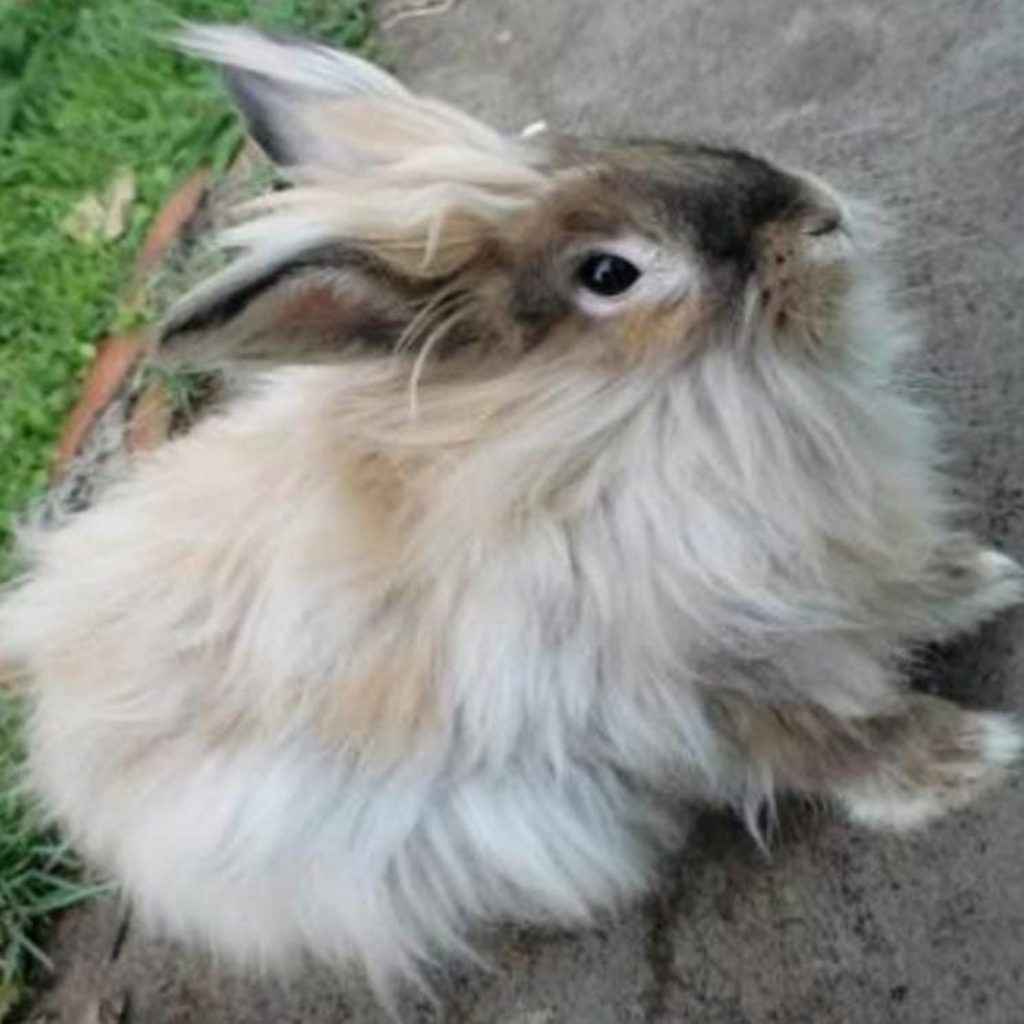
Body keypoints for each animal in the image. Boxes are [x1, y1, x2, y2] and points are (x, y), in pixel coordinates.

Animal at [2, 23, 1023, 1005]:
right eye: (610, 274)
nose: (817, 213)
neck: (652, 407)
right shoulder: (698, 691)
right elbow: (829, 739)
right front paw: (966, 760)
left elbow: (901, 584)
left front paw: (982, 580)